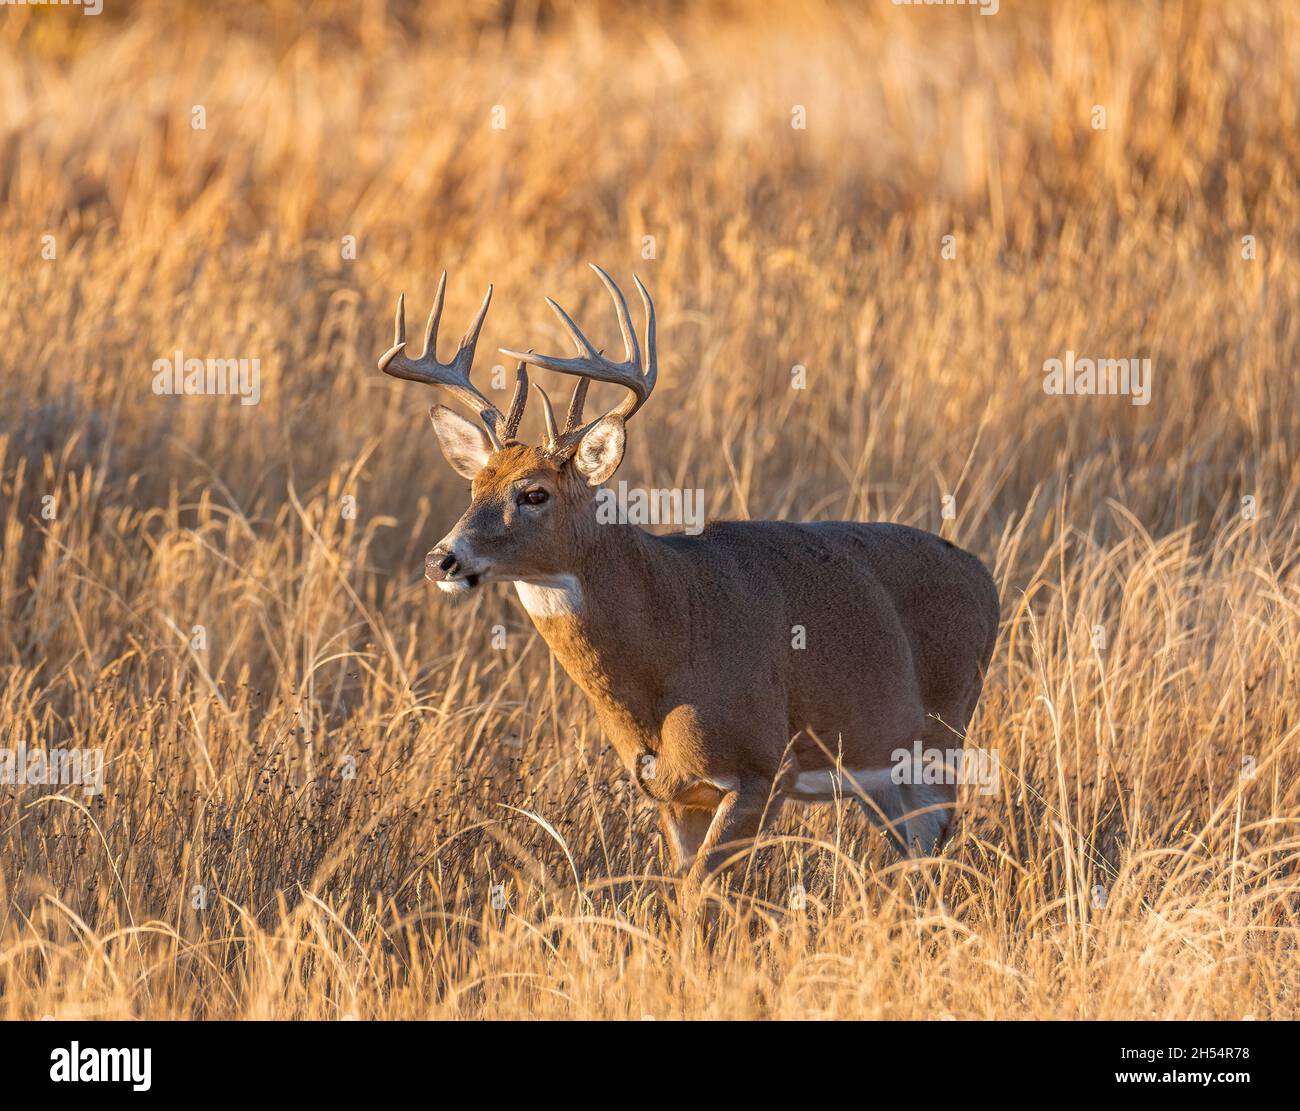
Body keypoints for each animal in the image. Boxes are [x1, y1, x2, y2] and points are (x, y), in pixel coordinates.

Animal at [377, 265, 1000, 890]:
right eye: (474, 487)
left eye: (534, 493)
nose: (441, 560)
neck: (672, 639)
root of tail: (983, 575)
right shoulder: (672, 794)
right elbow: (682, 892)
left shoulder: (761, 770)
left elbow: (703, 895)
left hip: (941, 741)